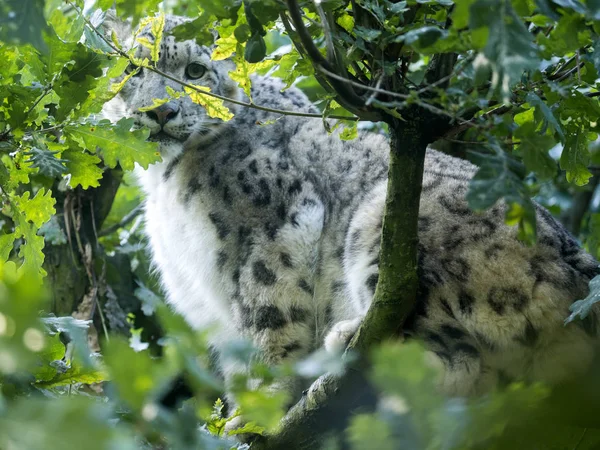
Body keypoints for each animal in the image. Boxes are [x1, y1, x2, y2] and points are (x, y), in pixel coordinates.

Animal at [103, 14, 600, 414]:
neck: (168, 182)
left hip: (387, 222)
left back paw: (350, 345)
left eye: (195, 71)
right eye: (131, 69)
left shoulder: (271, 231)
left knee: (457, 358)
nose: (160, 111)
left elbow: (268, 317)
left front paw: (257, 413)